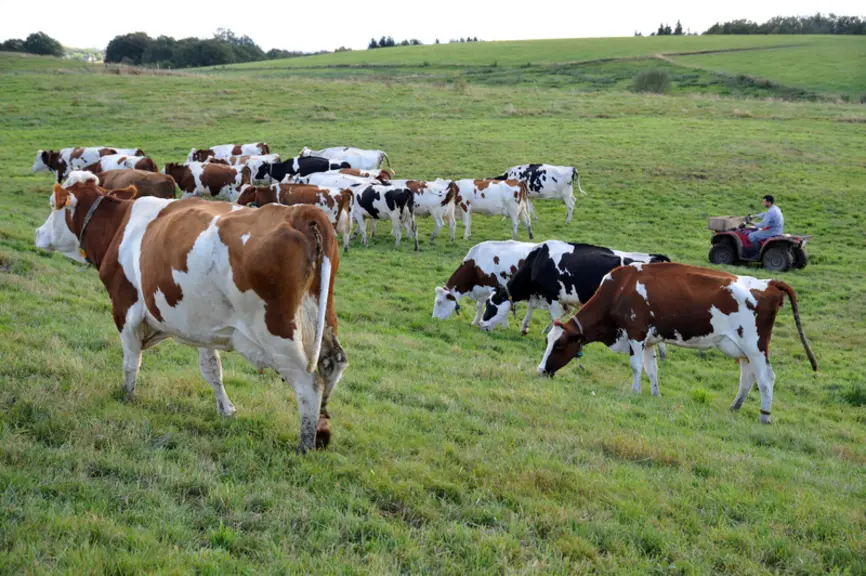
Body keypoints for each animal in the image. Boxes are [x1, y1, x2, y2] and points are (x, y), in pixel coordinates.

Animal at [34, 178, 347, 452]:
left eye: (52, 205)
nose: (38, 233)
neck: (120, 226)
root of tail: (299, 212)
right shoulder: (202, 326)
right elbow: (212, 369)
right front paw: (226, 409)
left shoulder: (125, 309)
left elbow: (131, 361)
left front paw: (127, 396)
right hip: (321, 323)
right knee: (333, 365)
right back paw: (322, 431)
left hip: (281, 336)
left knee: (309, 384)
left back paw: (305, 444)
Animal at [480, 242, 671, 335]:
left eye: (490, 307)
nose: (481, 325)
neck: (538, 259)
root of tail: (657, 257)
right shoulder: (548, 295)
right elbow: (533, 308)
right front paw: (526, 327)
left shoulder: (552, 295)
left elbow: (556, 316)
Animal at [538, 262, 818, 422]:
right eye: (547, 342)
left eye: (559, 345)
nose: (541, 371)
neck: (620, 290)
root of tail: (769, 283)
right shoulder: (650, 339)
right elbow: (651, 369)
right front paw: (654, 394)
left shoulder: (636, 333)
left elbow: (636, 367)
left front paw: (634, 392)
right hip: (741, 350)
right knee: (748, 377)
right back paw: (734, 408)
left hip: (756, 346)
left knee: (766, 378)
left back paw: (765, 417)